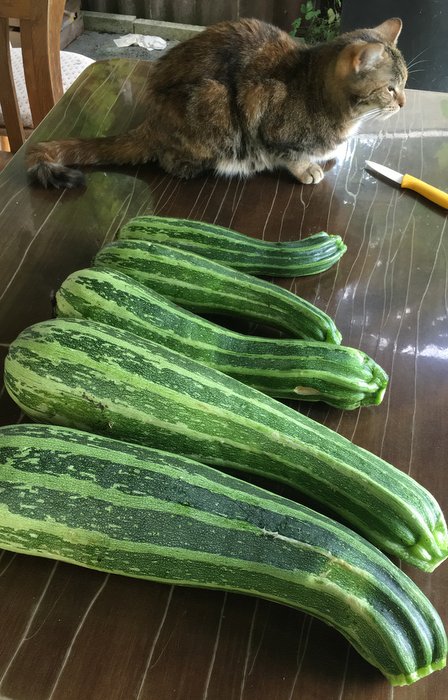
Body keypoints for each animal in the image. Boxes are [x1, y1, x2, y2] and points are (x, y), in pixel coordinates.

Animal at [26, 17, 408, 189]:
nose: (403, 102)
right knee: (169, 158)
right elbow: (289, 153)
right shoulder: (265, 114)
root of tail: (150, 123)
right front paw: (307, 168)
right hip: (213, 101)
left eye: (405, 83)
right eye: (390, 89)